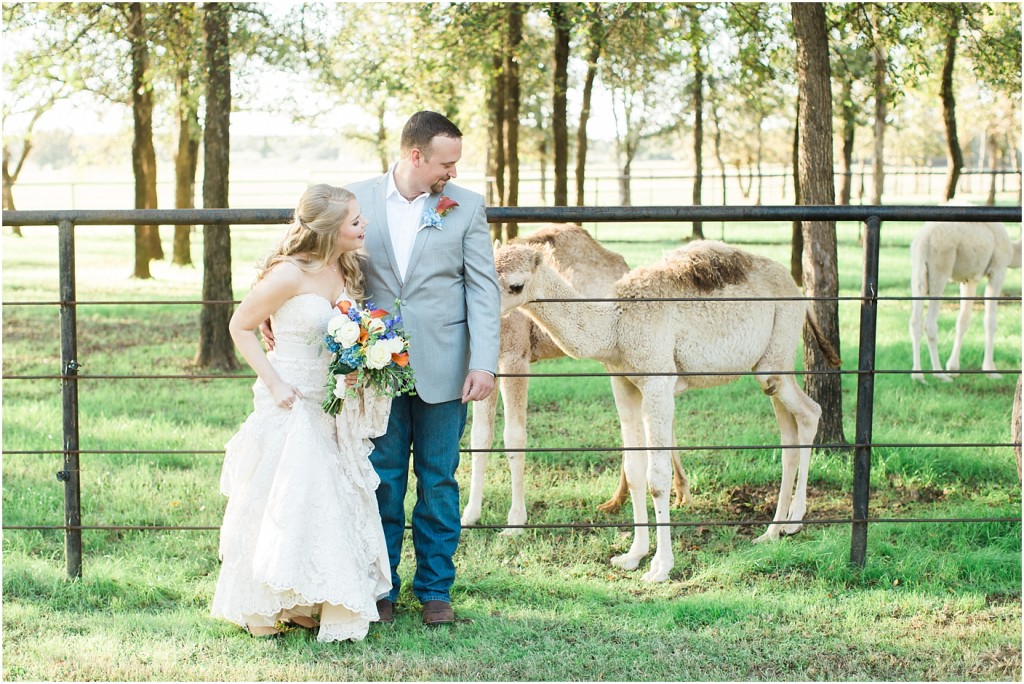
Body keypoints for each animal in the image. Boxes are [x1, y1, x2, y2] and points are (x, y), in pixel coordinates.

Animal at [462, 224, 688, 532]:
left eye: (516, 286)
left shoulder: (515, 357)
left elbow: (514, 435)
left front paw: (516, 521)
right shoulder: (486, 366)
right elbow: (479, 436)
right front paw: (470, 515)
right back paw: (635, 498)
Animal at [493, 237, 839, 581]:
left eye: (515, 285)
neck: (616, 326)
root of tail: (799, 291)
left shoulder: (657, 380)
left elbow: (657, 477)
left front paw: (660, 567)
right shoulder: (623, 382)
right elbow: (634, 469)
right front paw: (632, 555)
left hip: (776, 354)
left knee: (810, 412)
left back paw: (794, 521)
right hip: (768, 369)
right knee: (788, 432)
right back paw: (771, 532)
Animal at [909, 223, 1019, 385]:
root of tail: (924, 239)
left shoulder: (969, 279)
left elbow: (962, 321)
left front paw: (953, 367)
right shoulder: (998, 270)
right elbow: (990, 321)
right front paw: (991, 371)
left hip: (918, 274)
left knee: (915, 321)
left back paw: (918, 376)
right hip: (940, 268)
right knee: (930, 323)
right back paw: (940, 375)